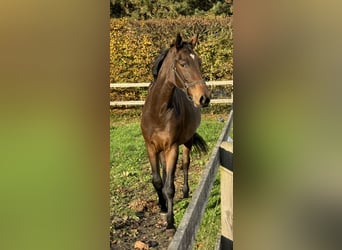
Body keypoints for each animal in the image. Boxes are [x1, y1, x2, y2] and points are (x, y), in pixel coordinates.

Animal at [140, 33, 210, 230]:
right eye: (183, 63)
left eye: (199, 62)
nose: (204, 98)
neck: (158, 112)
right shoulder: (150, 147)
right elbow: (157, 180)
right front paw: (163, 207)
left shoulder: (172, 148)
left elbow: (170, 186)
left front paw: (170, 222)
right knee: (164, 172)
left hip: (187, 141)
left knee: (185, 164)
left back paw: (185, 192)